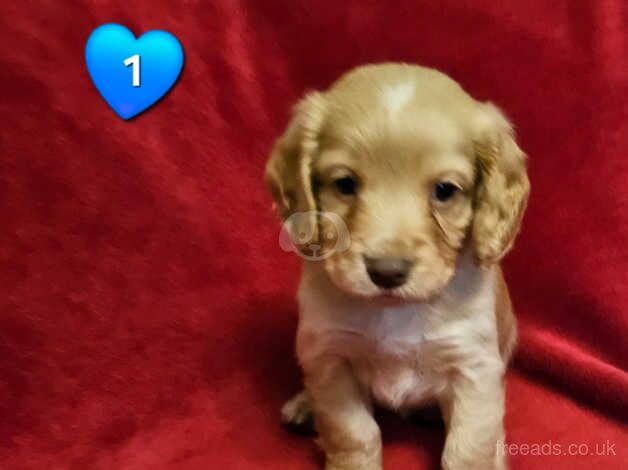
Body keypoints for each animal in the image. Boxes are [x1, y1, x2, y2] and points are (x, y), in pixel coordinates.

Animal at [264, 63, 528, 470]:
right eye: (345, 184)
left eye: (445, 190)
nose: (387, 271)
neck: (394, 311)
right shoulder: (330, 358)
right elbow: (354, 433)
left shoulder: (474, 368)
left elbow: (468, 448)